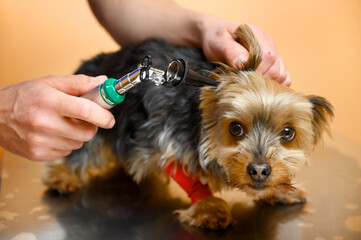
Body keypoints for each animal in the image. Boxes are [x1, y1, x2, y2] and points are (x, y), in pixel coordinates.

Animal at [42, 25, 332, 230]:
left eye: (288, 133)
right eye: (235, 128)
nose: (260, 170)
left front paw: (280, 190)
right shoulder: (164, 137)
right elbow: (183, 173)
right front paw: (210, 207)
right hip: (97, 116)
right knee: (84, 150)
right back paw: (62, 176)